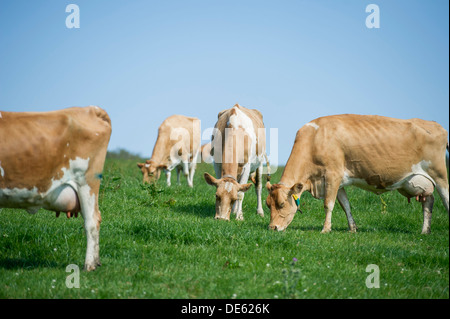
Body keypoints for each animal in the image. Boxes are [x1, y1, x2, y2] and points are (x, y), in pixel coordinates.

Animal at [266, 114, 448, 234]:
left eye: (281, 204)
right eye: (268, 204)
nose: (272, 227)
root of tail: (436, 125)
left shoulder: (332, 175)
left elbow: (328, 204)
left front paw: (325, 229)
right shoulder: (337, 182)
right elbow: (345, 205)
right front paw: (352, 228)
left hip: (439, 175)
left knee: (445, 199)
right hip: (415, 181)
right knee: (428, 201)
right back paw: (424, 231)